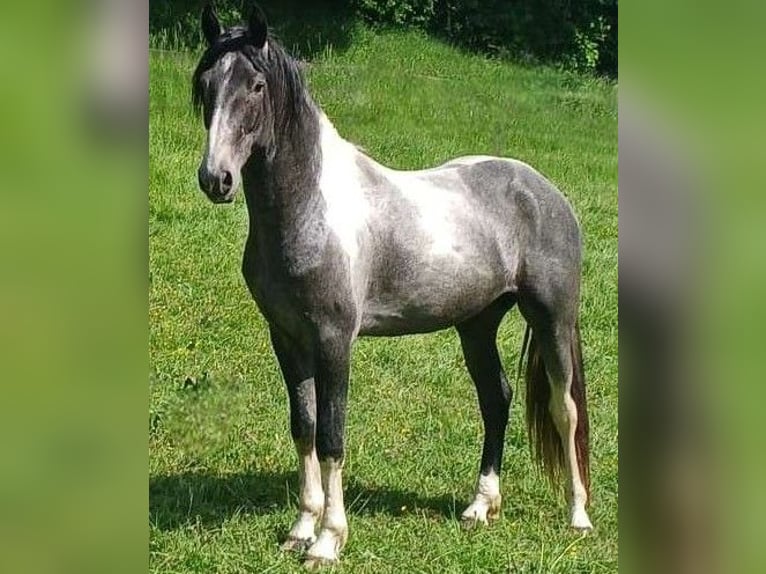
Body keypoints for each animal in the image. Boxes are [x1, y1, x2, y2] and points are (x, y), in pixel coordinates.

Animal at [191, 3, 592, 567]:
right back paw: (480, 506)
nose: (216, 179)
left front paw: (328, 541)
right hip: (477, 325)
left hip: (552, 318)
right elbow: (304, 427)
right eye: (206, 83)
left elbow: (332, 436)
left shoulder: (333, 341)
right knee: (496, 398)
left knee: (565, 409)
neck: (310, 210)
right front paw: (300, 528)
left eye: (255, 85)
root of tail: (545, 191)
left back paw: (578, 517)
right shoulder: (288, 339)